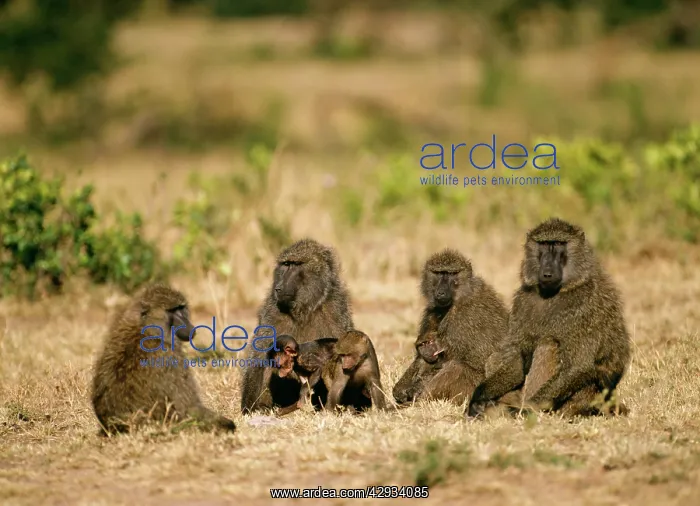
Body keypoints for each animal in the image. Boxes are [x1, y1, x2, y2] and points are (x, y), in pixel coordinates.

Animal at [91, 283, 236, 435]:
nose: (189, 326)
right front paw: (228, 423)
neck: (145, 330)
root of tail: (115, 427)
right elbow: (190, 407)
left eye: (181, 308)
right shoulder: (170, 357)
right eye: (172, 311)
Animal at [241, 239, 354, 414]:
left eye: (296, 264)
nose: (279, 287)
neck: (305, 309)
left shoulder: (336, 309)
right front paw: (249, 409)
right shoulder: (272, 311)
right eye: (285, 264)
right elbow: (259, 357)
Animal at [392, 249, 509, 406]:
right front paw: (399, 389)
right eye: (438, 273)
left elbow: (469, 358)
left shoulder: (464, 316)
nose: (441, 292)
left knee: (456, 367)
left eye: (451, 274)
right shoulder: (431, 312)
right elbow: (422, 357)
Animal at [466, 218, 632, 419]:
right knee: (498, 355)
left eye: (559, 244)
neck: (554, 292)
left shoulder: (586, 307)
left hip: (578, 400)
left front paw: (526, 410)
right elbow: (516, 358)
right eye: (543, 245)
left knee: (549, 345)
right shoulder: (523, 301)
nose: (547, 272)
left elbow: (578, 366)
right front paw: (478, 398)